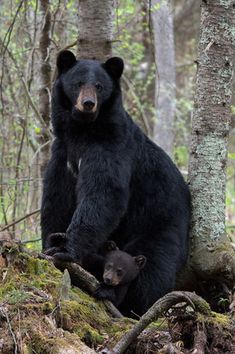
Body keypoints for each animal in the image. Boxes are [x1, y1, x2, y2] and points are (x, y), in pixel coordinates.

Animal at [40, 49, 191, 316]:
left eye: (99, 86)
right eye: (78, 83)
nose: (88, 104)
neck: (83, 131)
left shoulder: (111, 147)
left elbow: (104, 193)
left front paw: (66, 249)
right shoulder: (62, 152)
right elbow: (56, 197)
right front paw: (50, 242)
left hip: (160, 225)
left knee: (153, 268)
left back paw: (138, 307)